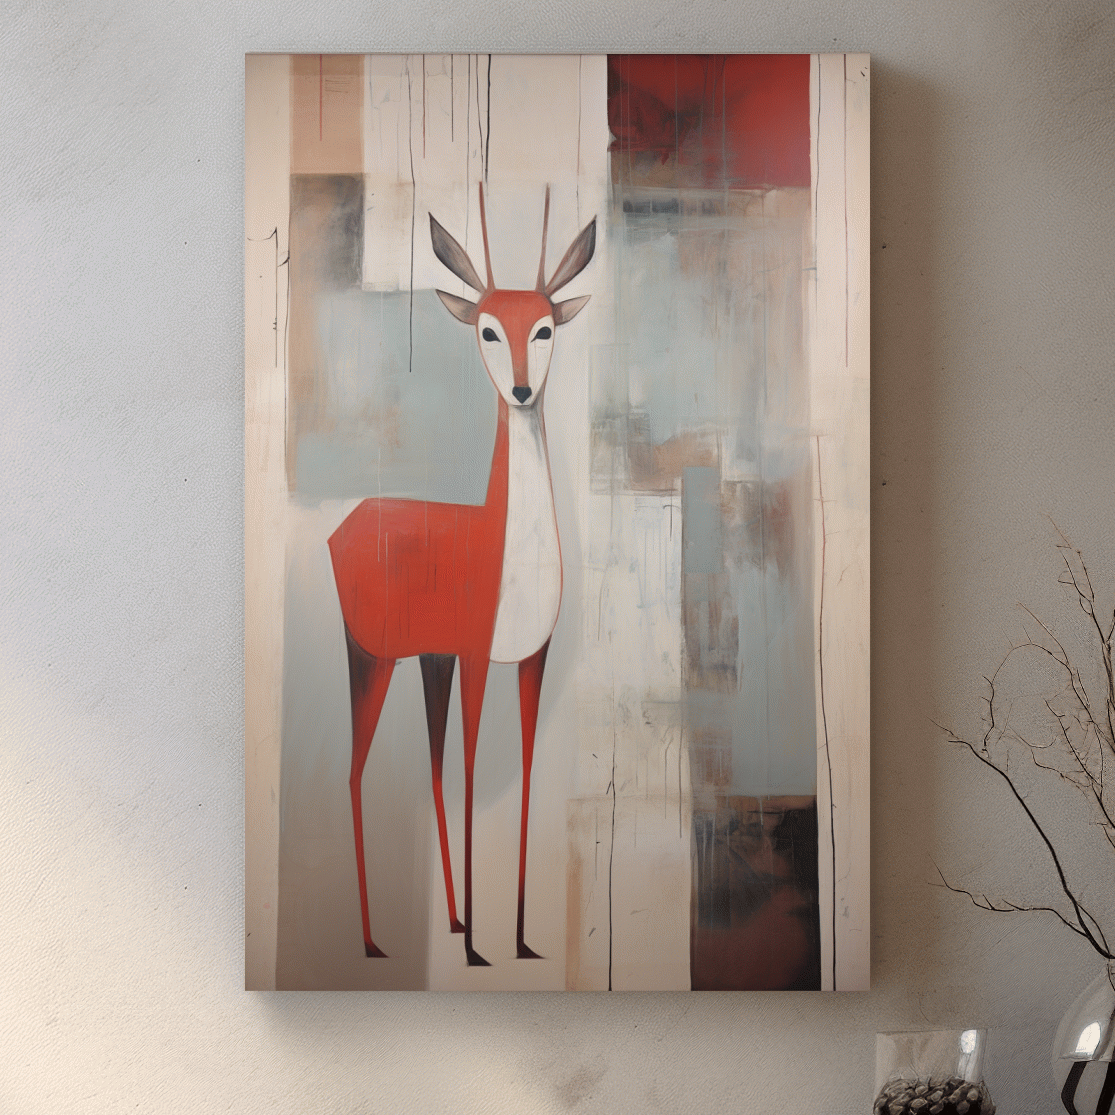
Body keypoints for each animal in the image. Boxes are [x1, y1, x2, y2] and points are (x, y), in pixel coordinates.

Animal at [328, 184, 596, 967]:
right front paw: (481, 948)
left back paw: (444, 923)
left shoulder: (529, 658)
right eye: (487, 330)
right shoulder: (477, 655)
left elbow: (526, 769)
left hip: (427, 659)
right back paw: (373, 941)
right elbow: (479, 770)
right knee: (355, 771)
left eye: (545, 329)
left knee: (429, 766)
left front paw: (519, 940)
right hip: (372, 654)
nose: (522, 392)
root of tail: (348, 519)